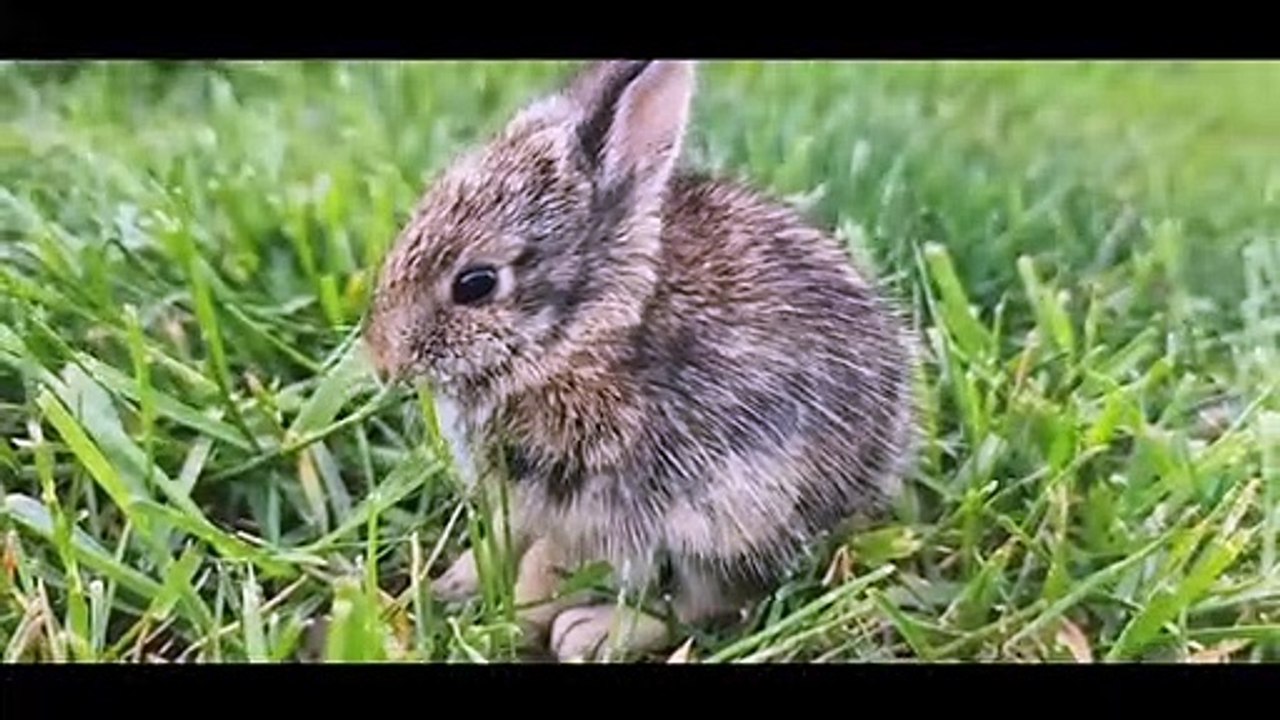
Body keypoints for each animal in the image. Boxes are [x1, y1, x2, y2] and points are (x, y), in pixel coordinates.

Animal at [364, 60, 919, 662]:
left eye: (476, 284)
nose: (383, 359)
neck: (579, 338)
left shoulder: (601, 504)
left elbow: (547, 570)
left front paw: (505, 628)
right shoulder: (520, 501)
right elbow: (503, 542)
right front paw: (454, 585)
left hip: (737, 519)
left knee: (707, 605)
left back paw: (592, 633)